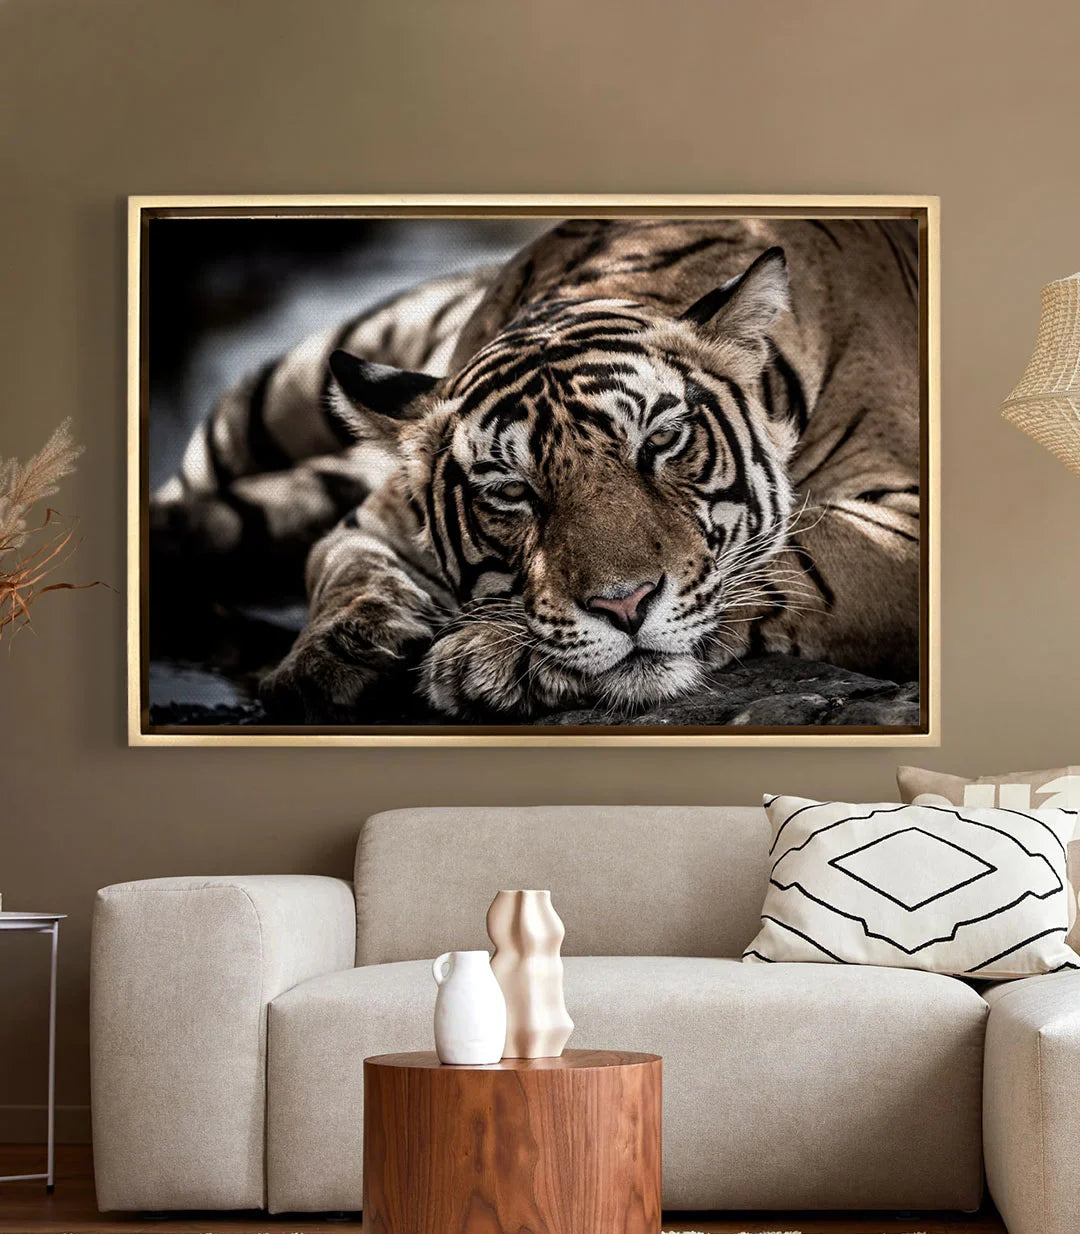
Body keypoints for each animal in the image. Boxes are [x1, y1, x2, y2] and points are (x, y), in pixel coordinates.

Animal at [152, 217, 921, 724]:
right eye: (511, 491)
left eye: (662, 440)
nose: (624, 606)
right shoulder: (373, 517)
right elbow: (342, 567)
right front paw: (328, 659)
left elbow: (799, 556)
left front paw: (493, 656)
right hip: (283, 390)